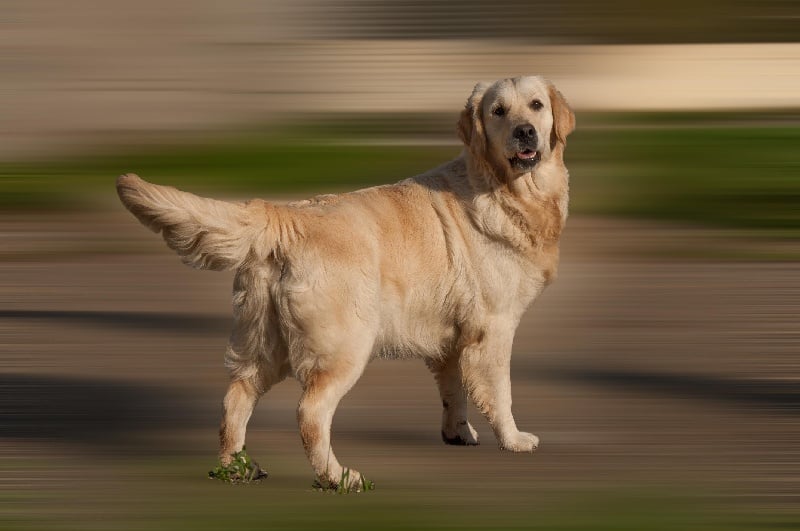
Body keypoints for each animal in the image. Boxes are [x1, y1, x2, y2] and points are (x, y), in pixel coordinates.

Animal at [115, 75, 572, 490]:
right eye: (499, 111)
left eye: (535, 105)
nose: (525, 132)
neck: (502, 188)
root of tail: (285, 216)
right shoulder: (494, 327)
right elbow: (500, 391)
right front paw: (513, 440)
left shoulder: (452, 337)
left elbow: (454, 389)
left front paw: (458, 433)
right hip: (343, 346)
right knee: (310, 413)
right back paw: (338, 477)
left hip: (263, 344)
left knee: (234, 399)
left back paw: (236, 468)